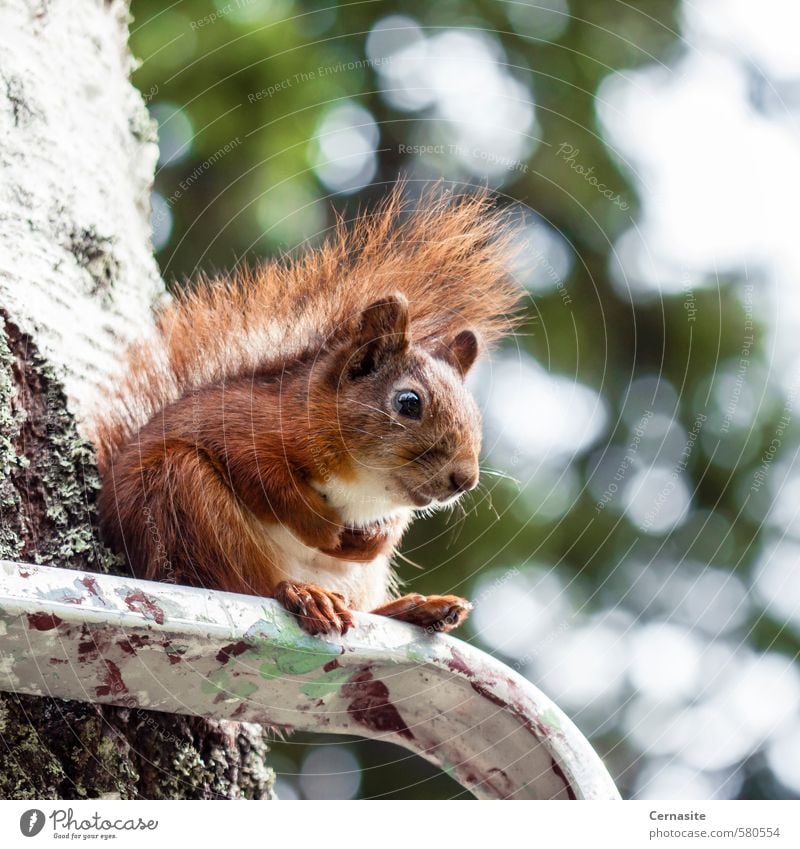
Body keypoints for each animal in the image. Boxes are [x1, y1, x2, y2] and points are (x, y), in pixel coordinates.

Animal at [90, 186, 520, 636]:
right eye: (408, 402)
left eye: (474, 413)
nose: (464, 480)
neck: (364, 482)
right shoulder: (242, 426)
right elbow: (266, 480)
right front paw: (325, 528)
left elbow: (392, 526)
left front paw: (371, 538)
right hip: (180, 498)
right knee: (244, 584)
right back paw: (304, 593)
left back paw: (418, 609)